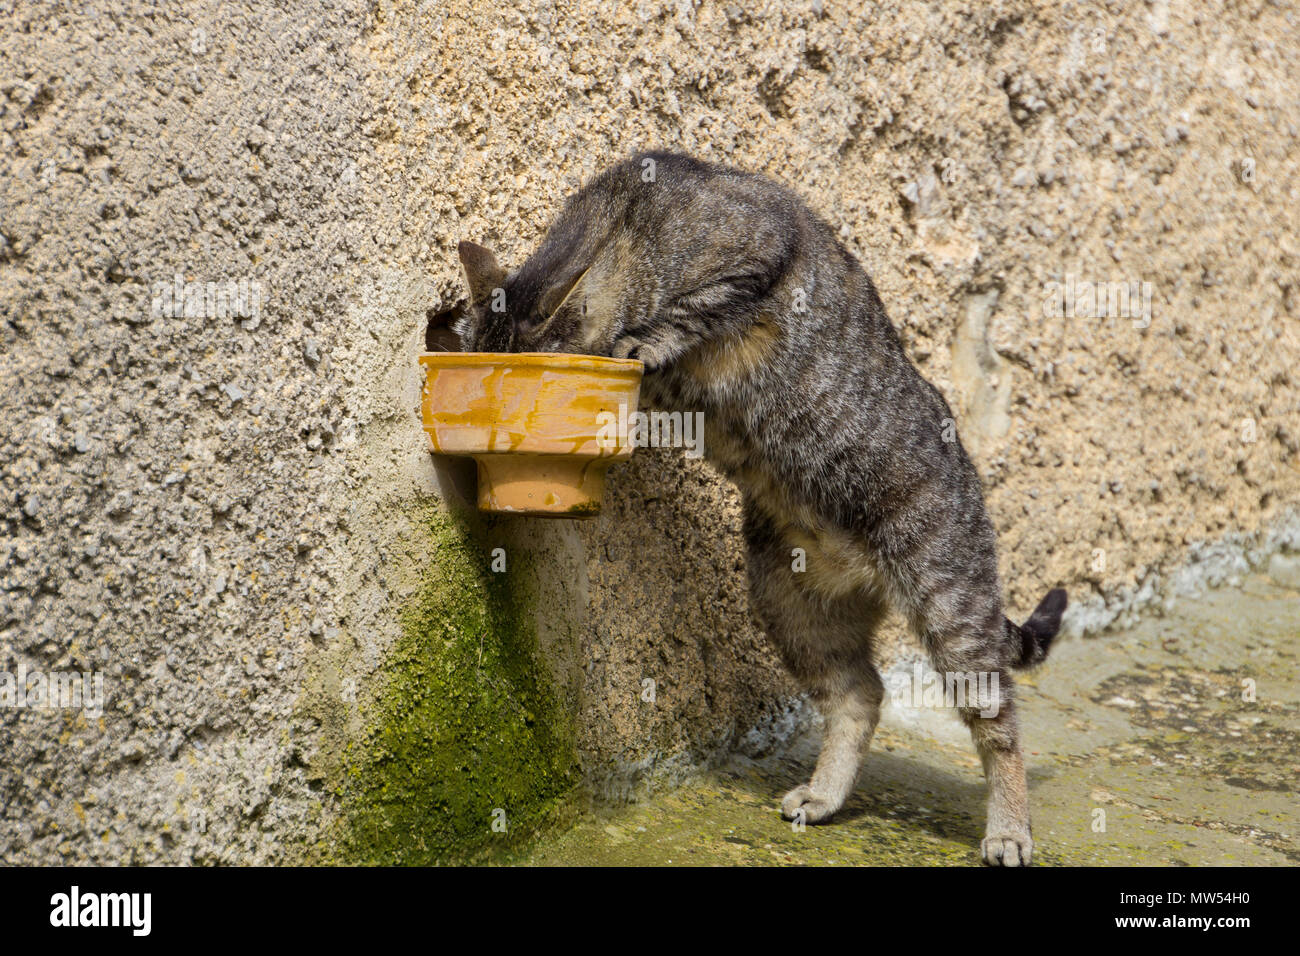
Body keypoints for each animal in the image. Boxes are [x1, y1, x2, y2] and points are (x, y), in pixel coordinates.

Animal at [457, 149, 1066, 868]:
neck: (627, 221)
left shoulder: (764, 244)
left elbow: (688, 313)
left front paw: (647, 337)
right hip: (790, 605)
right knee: (860, 695)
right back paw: (824, 795)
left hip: (951, 608)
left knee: (999, 727)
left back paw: (1009, 829)